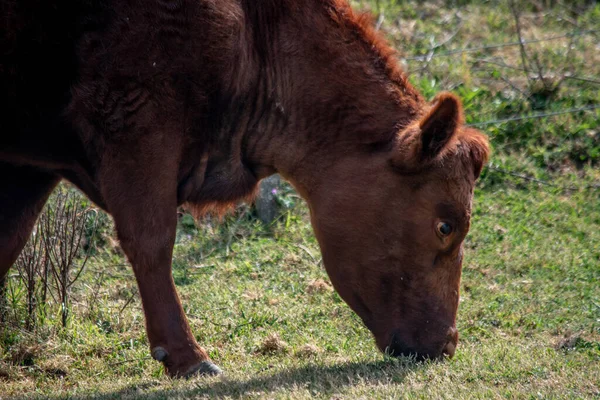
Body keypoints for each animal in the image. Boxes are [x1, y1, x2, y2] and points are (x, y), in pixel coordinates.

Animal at [1, 0, 488, 376]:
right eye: (446, 226)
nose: (447, 344)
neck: (257, 38)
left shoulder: (30, 165)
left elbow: (9, 243)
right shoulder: (138, 129)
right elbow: (151, 242)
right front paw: (188, 357)